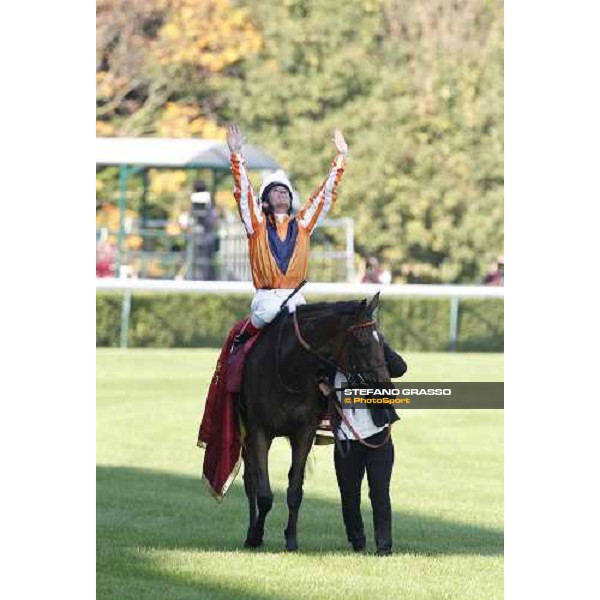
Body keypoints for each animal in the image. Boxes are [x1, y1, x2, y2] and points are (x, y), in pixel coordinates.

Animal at [237, 292, 392, 552]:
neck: (287, 370)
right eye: (362, 343)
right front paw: (255, 535)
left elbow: (295, 490)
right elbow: (264, 492)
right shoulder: (259, 430)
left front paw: (291, 539)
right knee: (250, 480)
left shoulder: (304, 432)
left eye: (381, 341)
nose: (386, 386)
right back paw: (250, 531)